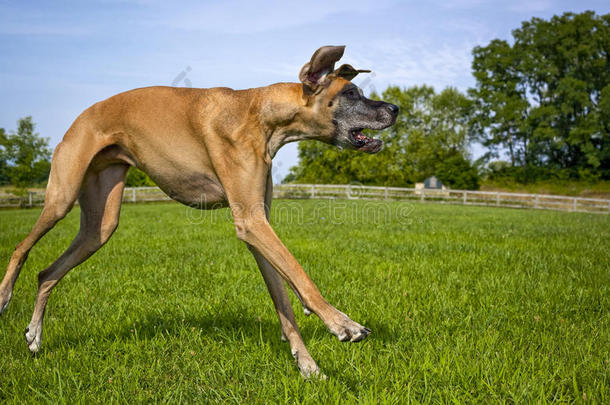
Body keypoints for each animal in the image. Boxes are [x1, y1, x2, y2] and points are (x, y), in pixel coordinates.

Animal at [0, 45, 396, 378]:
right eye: (350, 93)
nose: (394, 109)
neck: (262, 115)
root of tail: (79, 118)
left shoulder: (257, 226)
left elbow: (284, 300)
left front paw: (308, 366)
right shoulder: (251, 223)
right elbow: (301, 277)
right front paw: (341, 323)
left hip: (100, 225)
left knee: (47, 273)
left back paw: (34, 335)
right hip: (61, 197)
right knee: (21, 248)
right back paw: (4, 296)